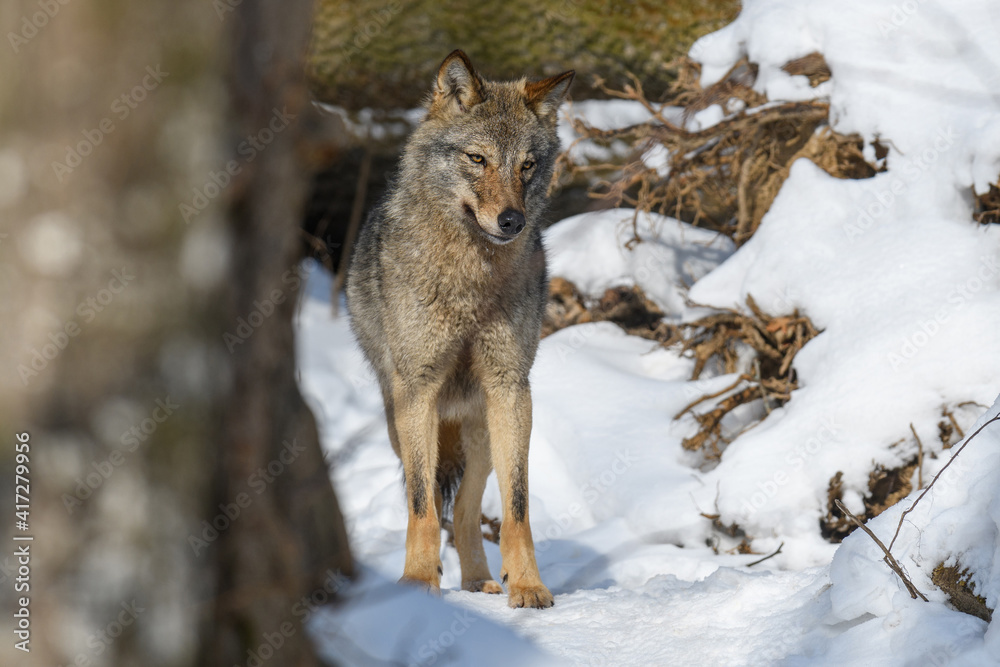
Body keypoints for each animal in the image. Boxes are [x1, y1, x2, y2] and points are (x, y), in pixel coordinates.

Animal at [350, 49, 572, 608]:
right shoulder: (419, 389)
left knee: (470, 512)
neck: (471, 278)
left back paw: (479, 581)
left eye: (527, 165)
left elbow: (517, 508)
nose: (512, 220)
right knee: (433, 498)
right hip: (402, 420)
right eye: (477, 159)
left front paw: (529, 586)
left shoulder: (511, 388)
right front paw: (416, 584)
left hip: (482, 431)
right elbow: (422, 506)